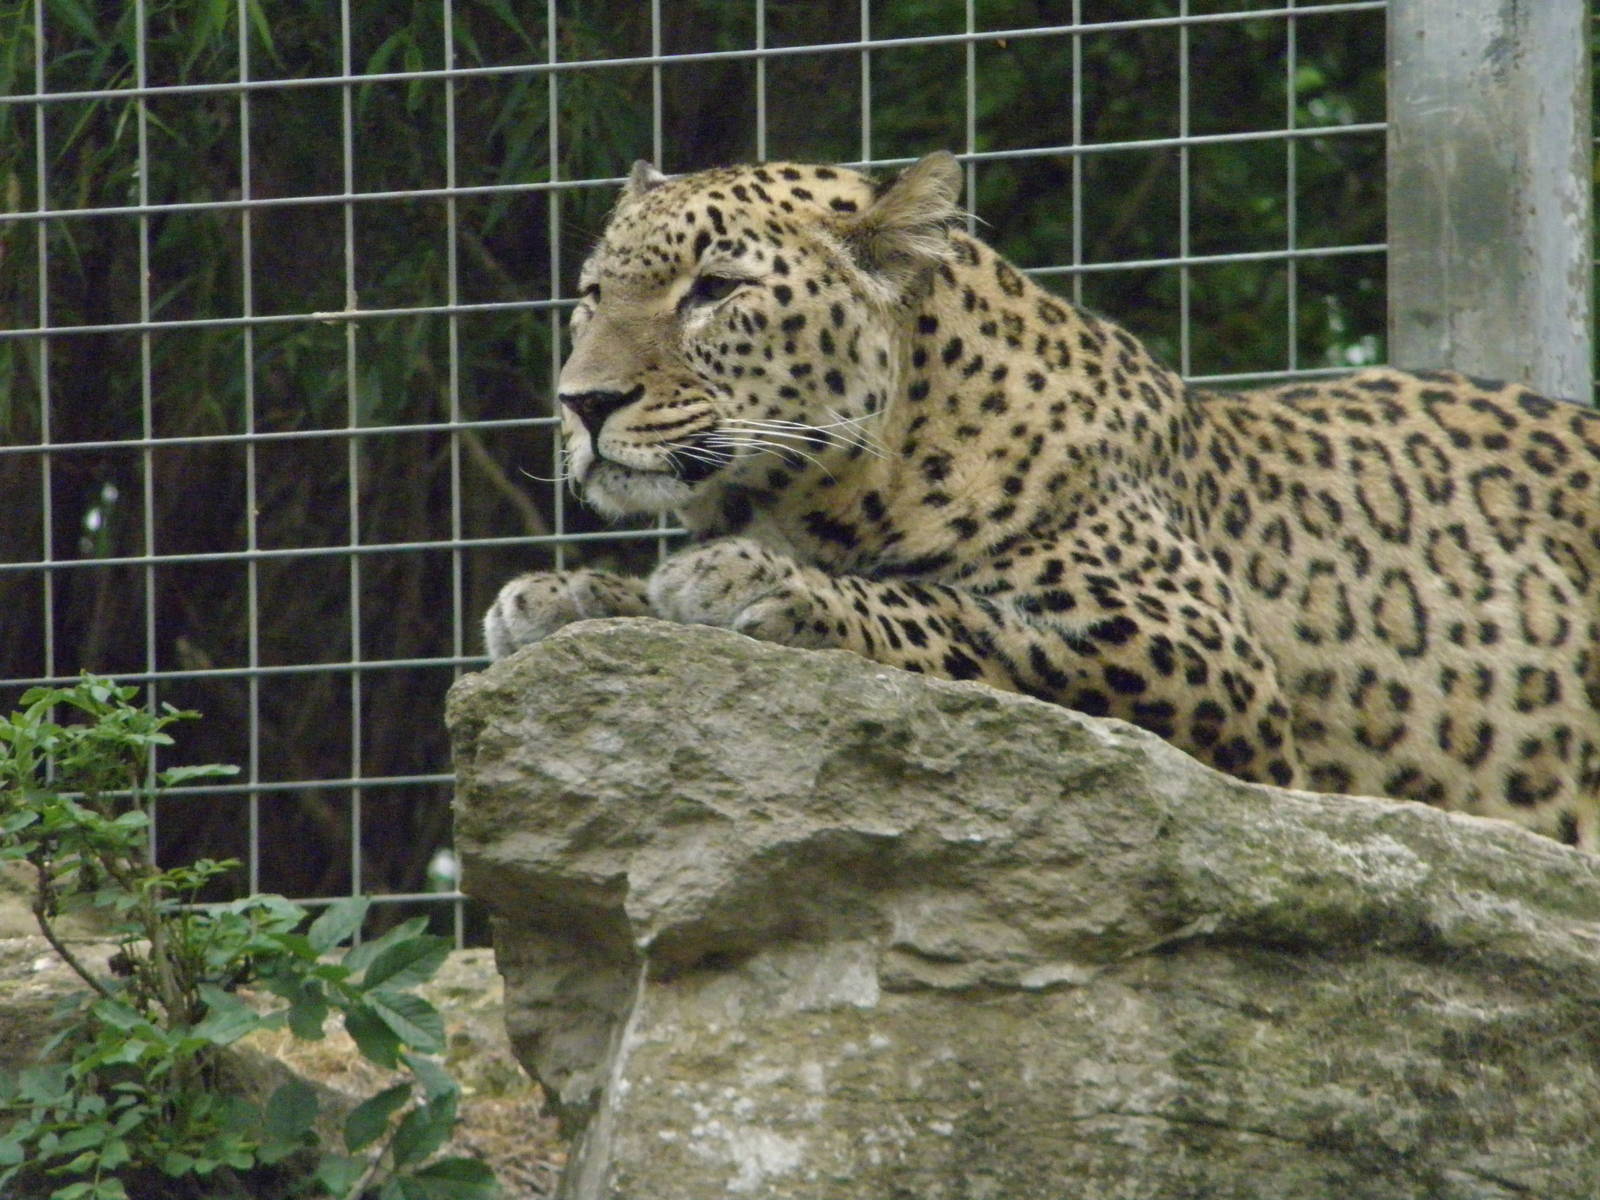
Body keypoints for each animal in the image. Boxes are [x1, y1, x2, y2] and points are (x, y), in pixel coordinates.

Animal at [483, 150, 1600, 851]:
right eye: (592, 295)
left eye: (714, 290)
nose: (581, 402)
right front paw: (566, 596)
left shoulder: (1201, 655)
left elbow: (952, 613)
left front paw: (761, 584)